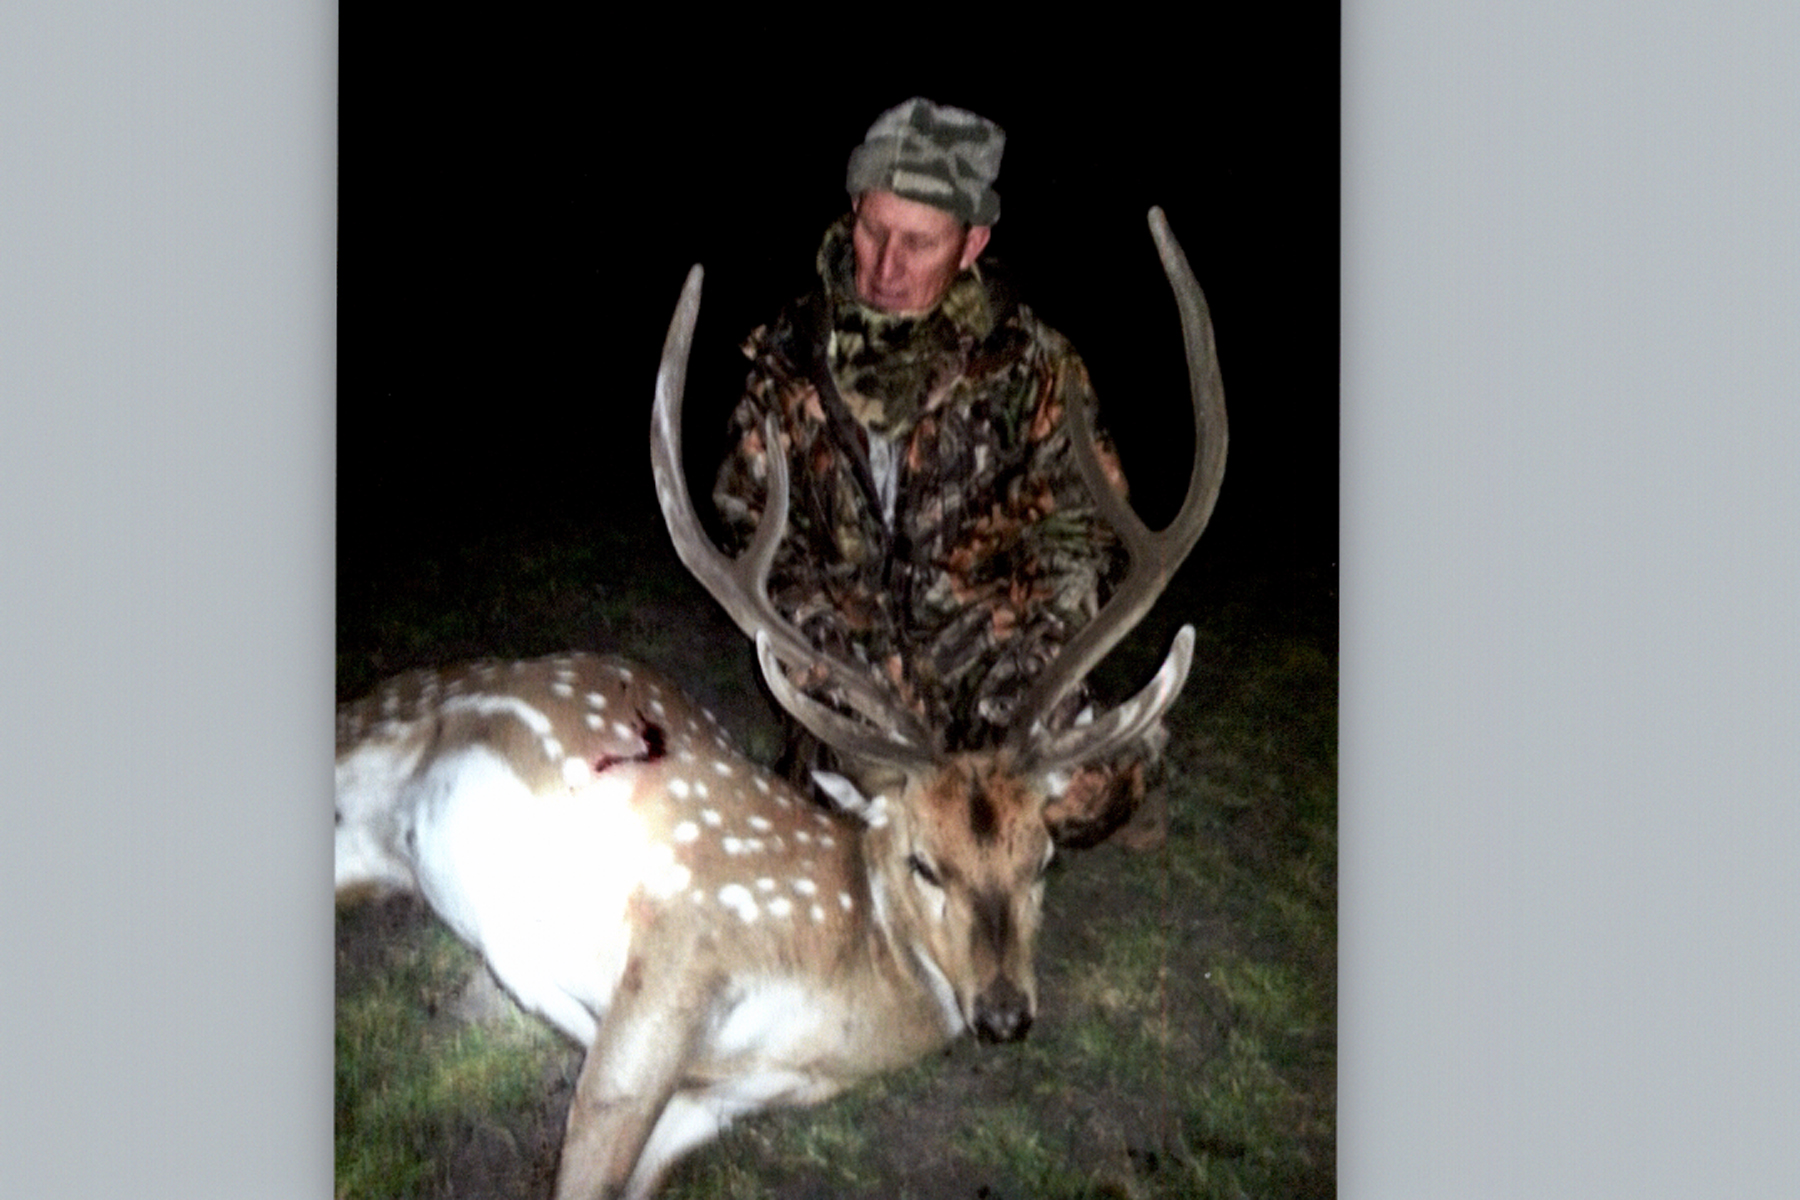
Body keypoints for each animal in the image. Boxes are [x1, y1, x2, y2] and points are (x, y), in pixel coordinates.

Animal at [333, 206, 1226, 1200]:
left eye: (1043, 862)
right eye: (924, 863)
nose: (1003, 1015)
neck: (829, 1009)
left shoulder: (710, 1103)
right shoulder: (684, 947)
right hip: (371, 736)